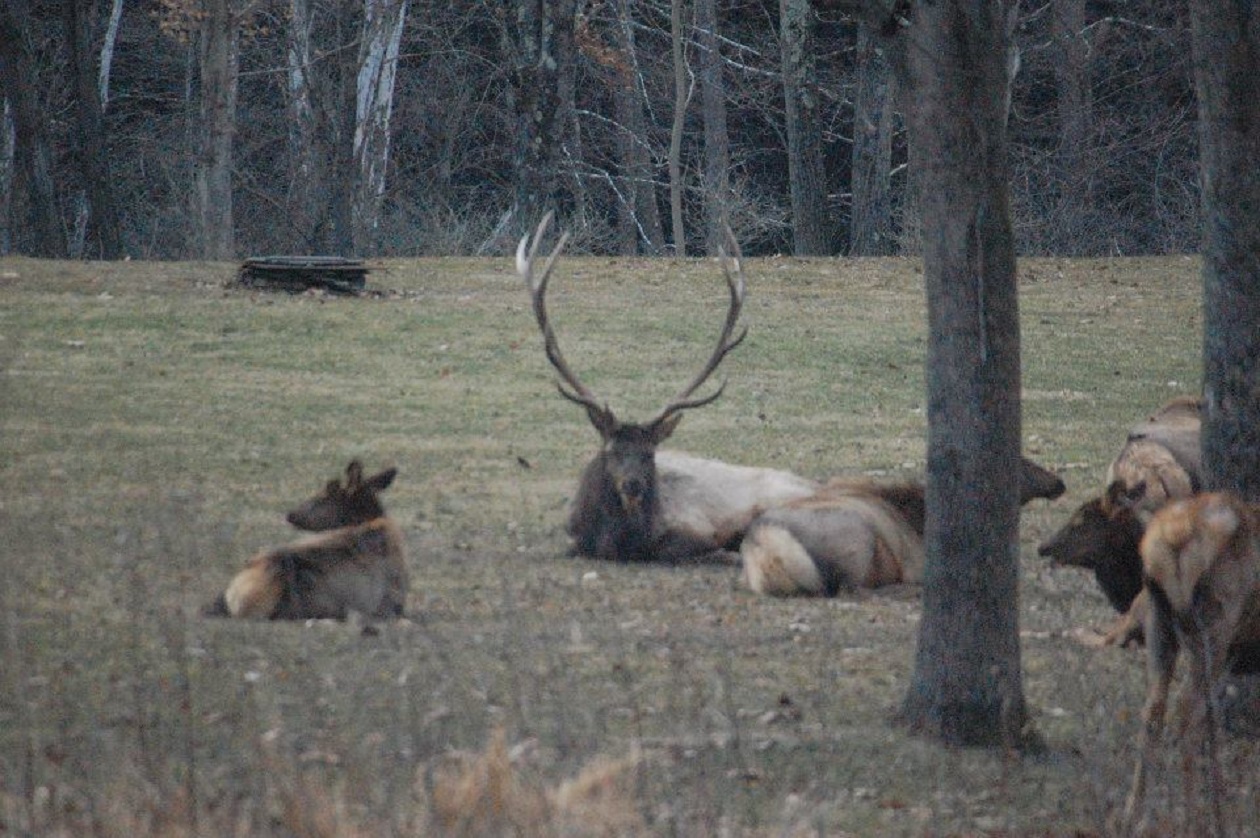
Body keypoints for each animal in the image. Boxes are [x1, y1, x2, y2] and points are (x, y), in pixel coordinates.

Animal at [742, 456, 1066, 596]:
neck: (918, 513)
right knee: (846, 586)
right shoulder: (919, 564)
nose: (1059, 483)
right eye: (1023, 462)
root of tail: (762, 542)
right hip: (857, 537)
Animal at [1122, 492, 1260, 837]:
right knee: (1185, 711)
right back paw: (1192, 821)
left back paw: (1135, 817)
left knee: (1155, 709)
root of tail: (1172, 539)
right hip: (1214, 627)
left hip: (1159, 623)